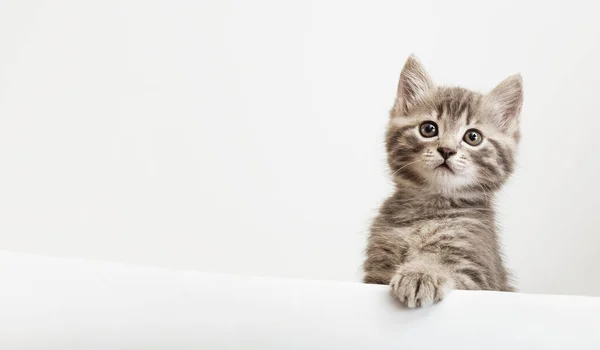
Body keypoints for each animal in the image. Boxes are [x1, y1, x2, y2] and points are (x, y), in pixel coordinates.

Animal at [364, 54, 524, 306]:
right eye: (428, 128)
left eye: (473, 137)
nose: (447, 150)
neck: (429, 208)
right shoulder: (376, 267)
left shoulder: (478, 273)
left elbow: (450, 269)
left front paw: (421, 272)